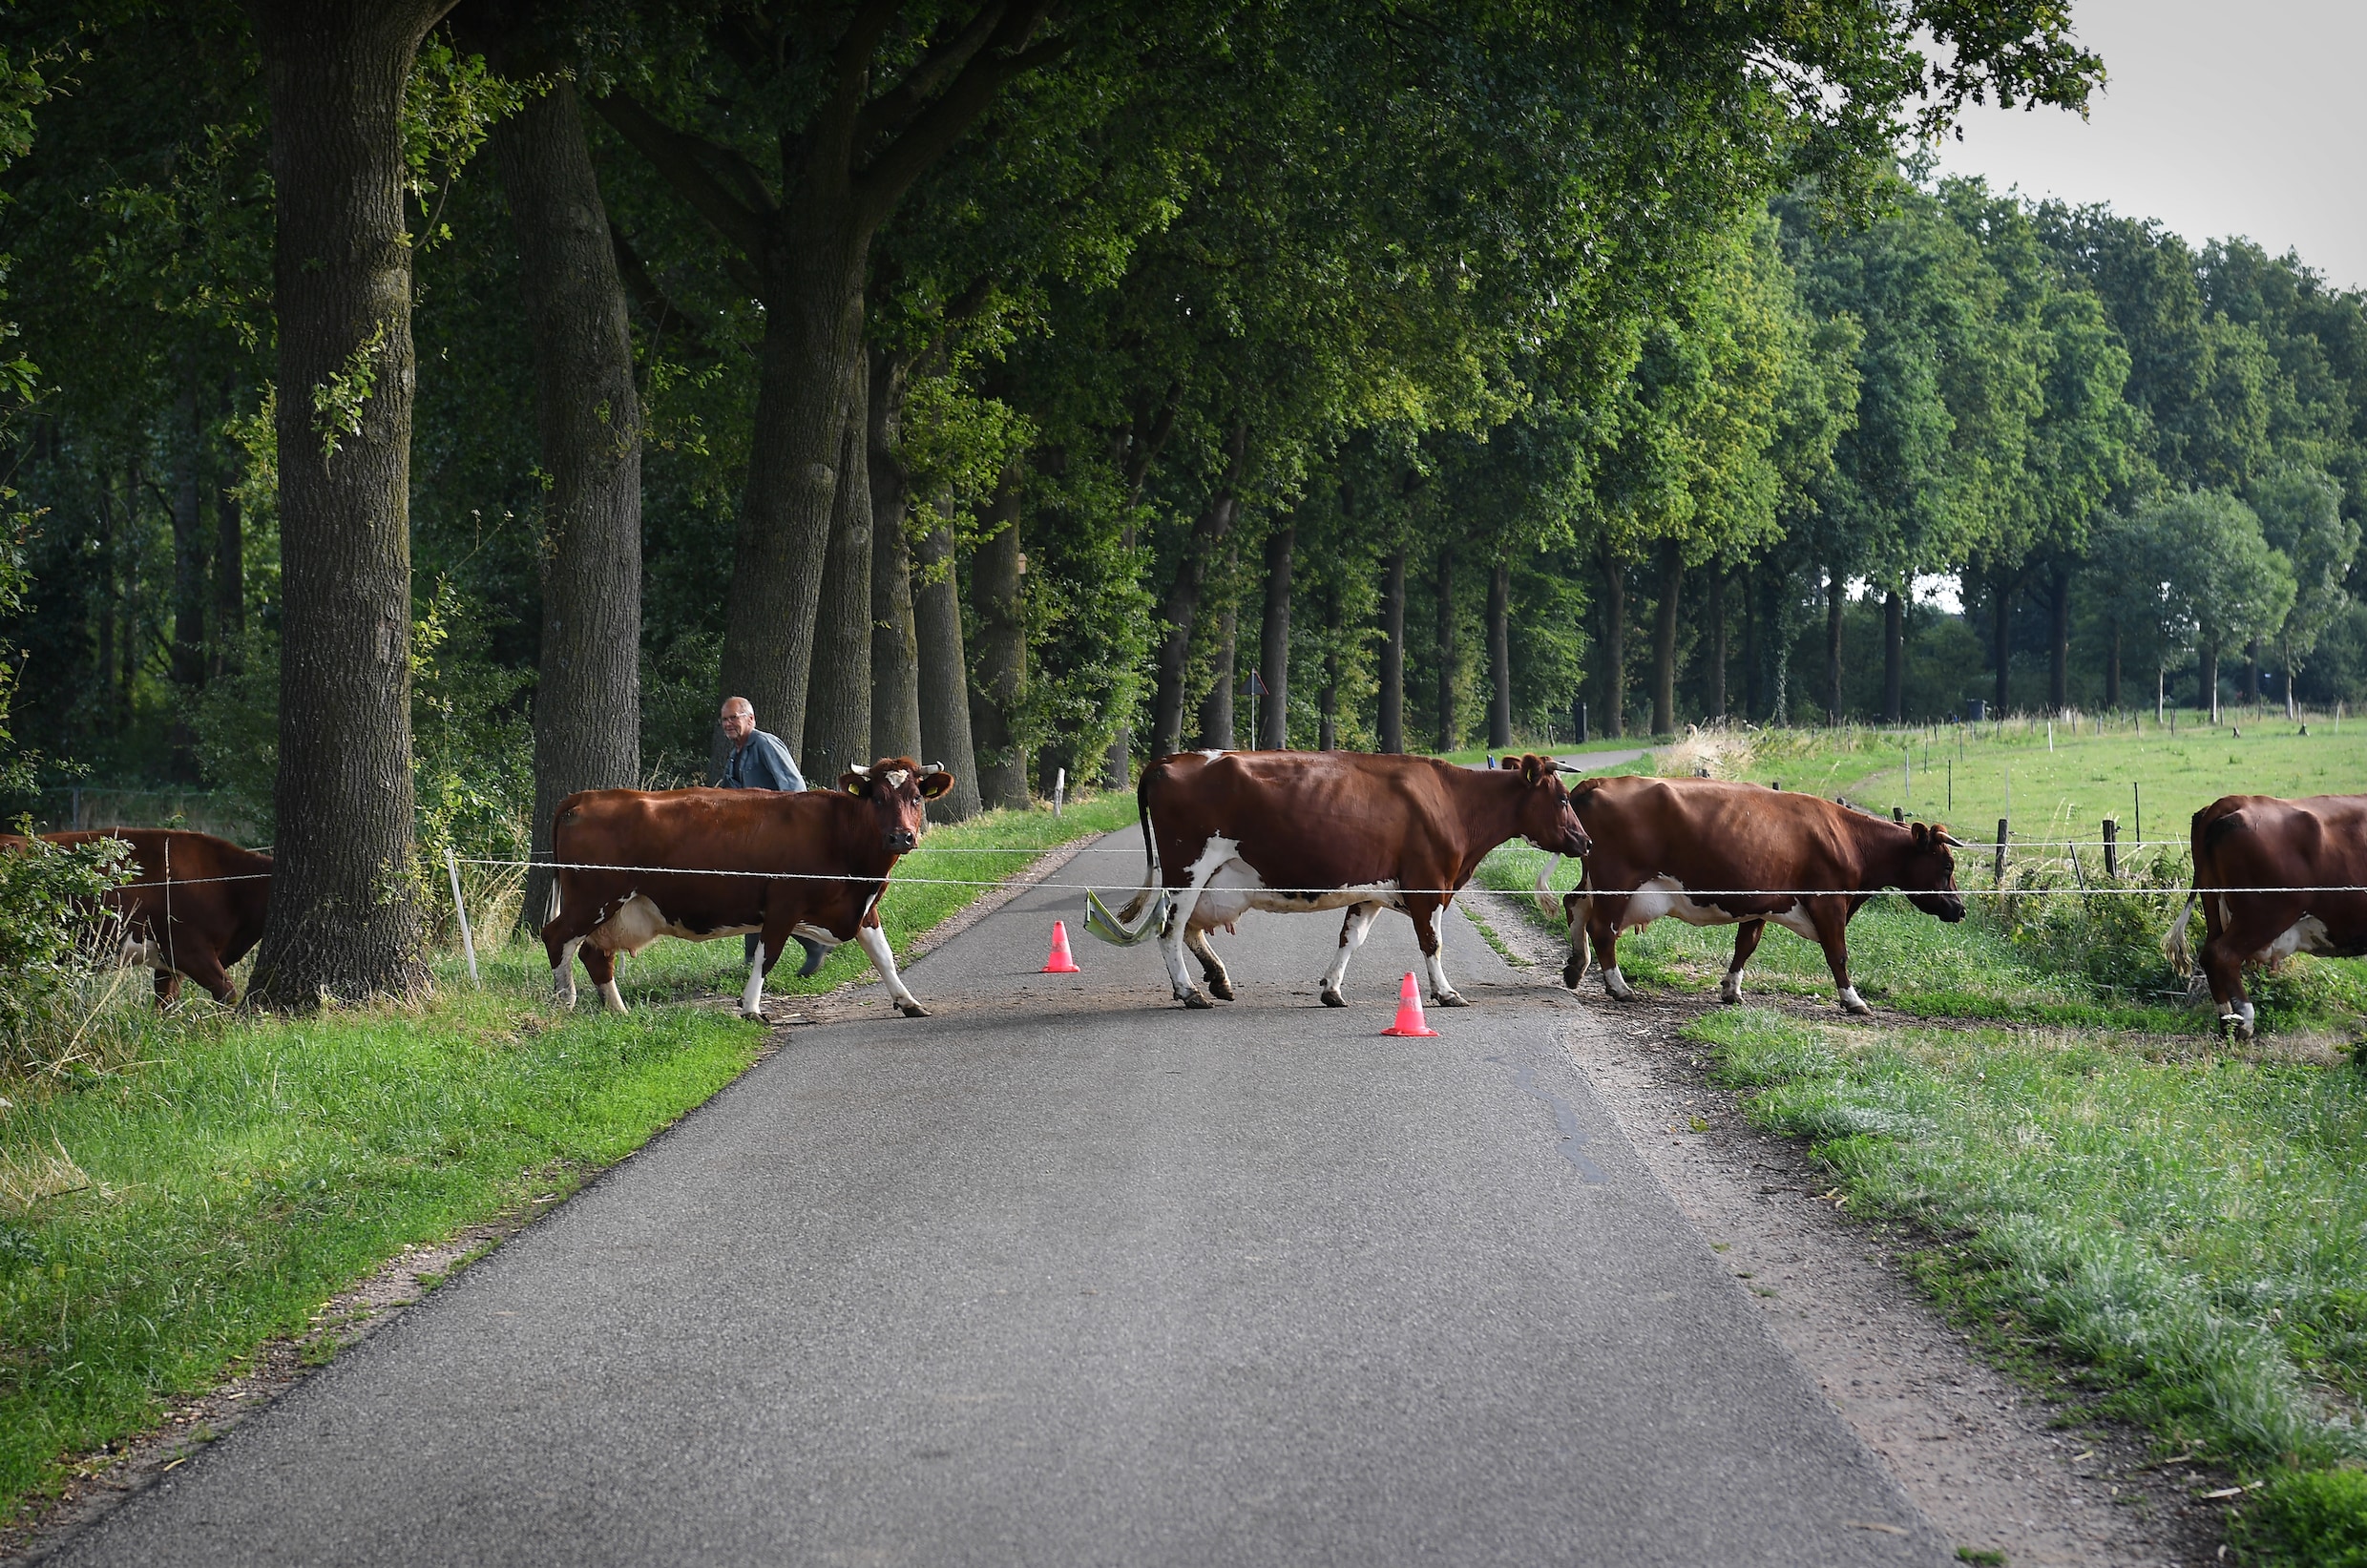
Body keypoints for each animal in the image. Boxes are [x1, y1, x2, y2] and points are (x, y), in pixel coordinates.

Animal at [536, 758, 951, 1028]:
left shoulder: (862, 908)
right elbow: (767, 956)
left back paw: (618, 1011)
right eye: (877, 797)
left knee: (595, 955)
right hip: (594, 897)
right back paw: (563, 1003)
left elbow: (884, 957)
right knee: (557, 937)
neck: (840, 835)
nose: (901, 836)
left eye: (916, 797)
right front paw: (751, 1008)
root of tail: (585, 797)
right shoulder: (784, 903)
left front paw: (908, 1001)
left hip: (610, 908)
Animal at [1088, 758, 1590, 1014]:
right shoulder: (1428, 885)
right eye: (1562, 799)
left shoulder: (1371, 889)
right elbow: (1432, 943)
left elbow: (1351, 938)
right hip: (1187, 871)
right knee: (1170, 931)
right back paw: (1189, 992)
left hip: (1213, 881)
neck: (1453, 801)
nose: (1585, 841)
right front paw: (1445, 992)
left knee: (1189, 929)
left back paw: (1218, 980)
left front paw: (1331, 989)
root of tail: (1168, 760)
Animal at [1534, 777, 1959, 1018]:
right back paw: (1619, 987)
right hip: (1618, 883)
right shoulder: (1828, 902)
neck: (1847, 838)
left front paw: (1731, 989)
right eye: (1947, 866)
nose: (1960, 908)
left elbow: (1746, 944)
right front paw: (1853, 1000)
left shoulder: (1762, 901)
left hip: (1596, 879)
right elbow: (1837, 954)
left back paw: (1576, 967)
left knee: (1575, 906)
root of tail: (1597, 782)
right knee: (1602, 929)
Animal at [2168, 790, 2367, 1037]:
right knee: (2222, 955)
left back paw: (2227, 1025)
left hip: (2215, 908)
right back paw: (2244, 1023)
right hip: (2264, 915)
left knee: (2208, 956)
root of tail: (2235, 800)